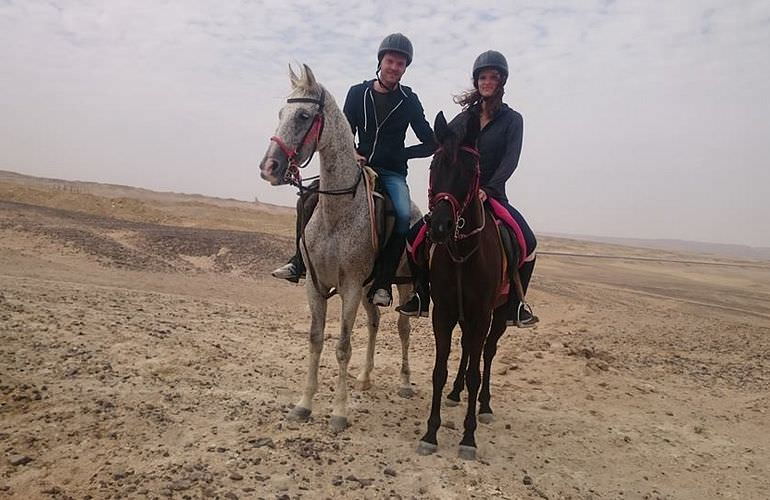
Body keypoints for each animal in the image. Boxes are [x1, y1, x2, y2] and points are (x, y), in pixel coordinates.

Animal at [414, 110, 516, 460]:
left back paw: (484, 406)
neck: (462, 255)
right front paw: (430, 433)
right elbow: (439, 371)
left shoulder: (482, 315)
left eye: (471, 171)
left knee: (485, 353)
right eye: (434, 165)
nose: (440, 226)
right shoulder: (443, 313)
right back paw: (455, 393)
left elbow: (475, 372)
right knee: (468, 351)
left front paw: (468, 438)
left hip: (497, 317)